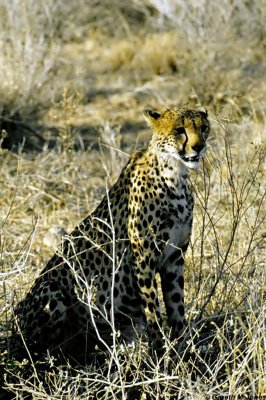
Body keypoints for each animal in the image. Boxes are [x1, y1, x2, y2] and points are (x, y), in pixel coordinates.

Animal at [14, 105, 210, 356]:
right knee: (38, 348)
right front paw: (159, 353)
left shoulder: (173, 258)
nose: (199, 146)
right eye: (180, 130)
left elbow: (177, 309)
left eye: (203, 128)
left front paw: (184, 352)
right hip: (51, 288)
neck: (174, 173)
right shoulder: (144, 260)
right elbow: (153, 313)